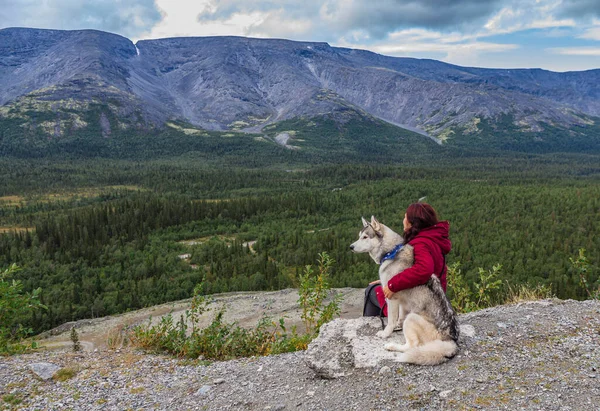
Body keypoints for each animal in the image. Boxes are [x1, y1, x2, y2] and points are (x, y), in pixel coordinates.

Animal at [350, 217, 462, 366]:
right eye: (359, 236)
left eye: (365, 237)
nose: (350, 247)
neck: (391, 252)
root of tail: (451, 340)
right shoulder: (402, 302)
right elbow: (399, 317)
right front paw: (398, 325)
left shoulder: (390, 297)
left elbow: (391, 320)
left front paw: (386, 333)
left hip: (412, 318)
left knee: (411, 346)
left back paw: (392, 346)